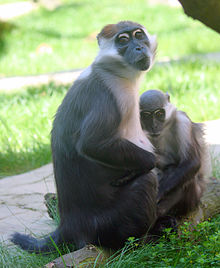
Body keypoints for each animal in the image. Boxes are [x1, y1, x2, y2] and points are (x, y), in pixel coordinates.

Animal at [11, 21, 158, 253]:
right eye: (123, 40)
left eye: (139, 35)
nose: (138, 47)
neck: (111, 71)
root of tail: (68, 226)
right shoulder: (107, 96)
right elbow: (92, 144)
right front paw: (145, 164)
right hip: (109, 223)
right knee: (147, 180)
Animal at [140, 89, 211, 219]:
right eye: (146, 116)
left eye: (159, 114)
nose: (154, 126)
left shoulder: (183, 121)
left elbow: (192, 162)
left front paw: (159, 192)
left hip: (194, 197)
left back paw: (160, 214)